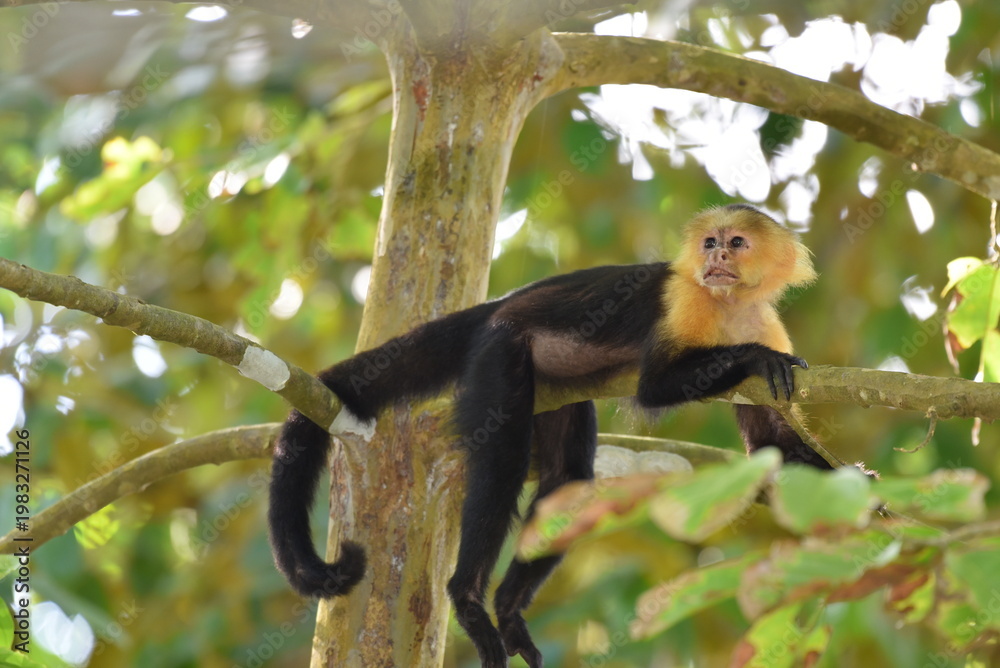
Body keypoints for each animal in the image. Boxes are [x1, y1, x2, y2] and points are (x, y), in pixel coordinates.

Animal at [268, 203, 833, 668]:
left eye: (736, 242)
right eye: (710, 243)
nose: (716, 256)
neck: (729, 303)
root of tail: (500, 305)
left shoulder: (765, 321)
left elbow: (773, 447)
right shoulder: (683, 297)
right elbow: (656, 386)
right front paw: (755, 359)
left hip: (554, 386)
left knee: (568, 478)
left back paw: (508, 609)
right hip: (500, 352)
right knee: (503, 463)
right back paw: (468, 600)